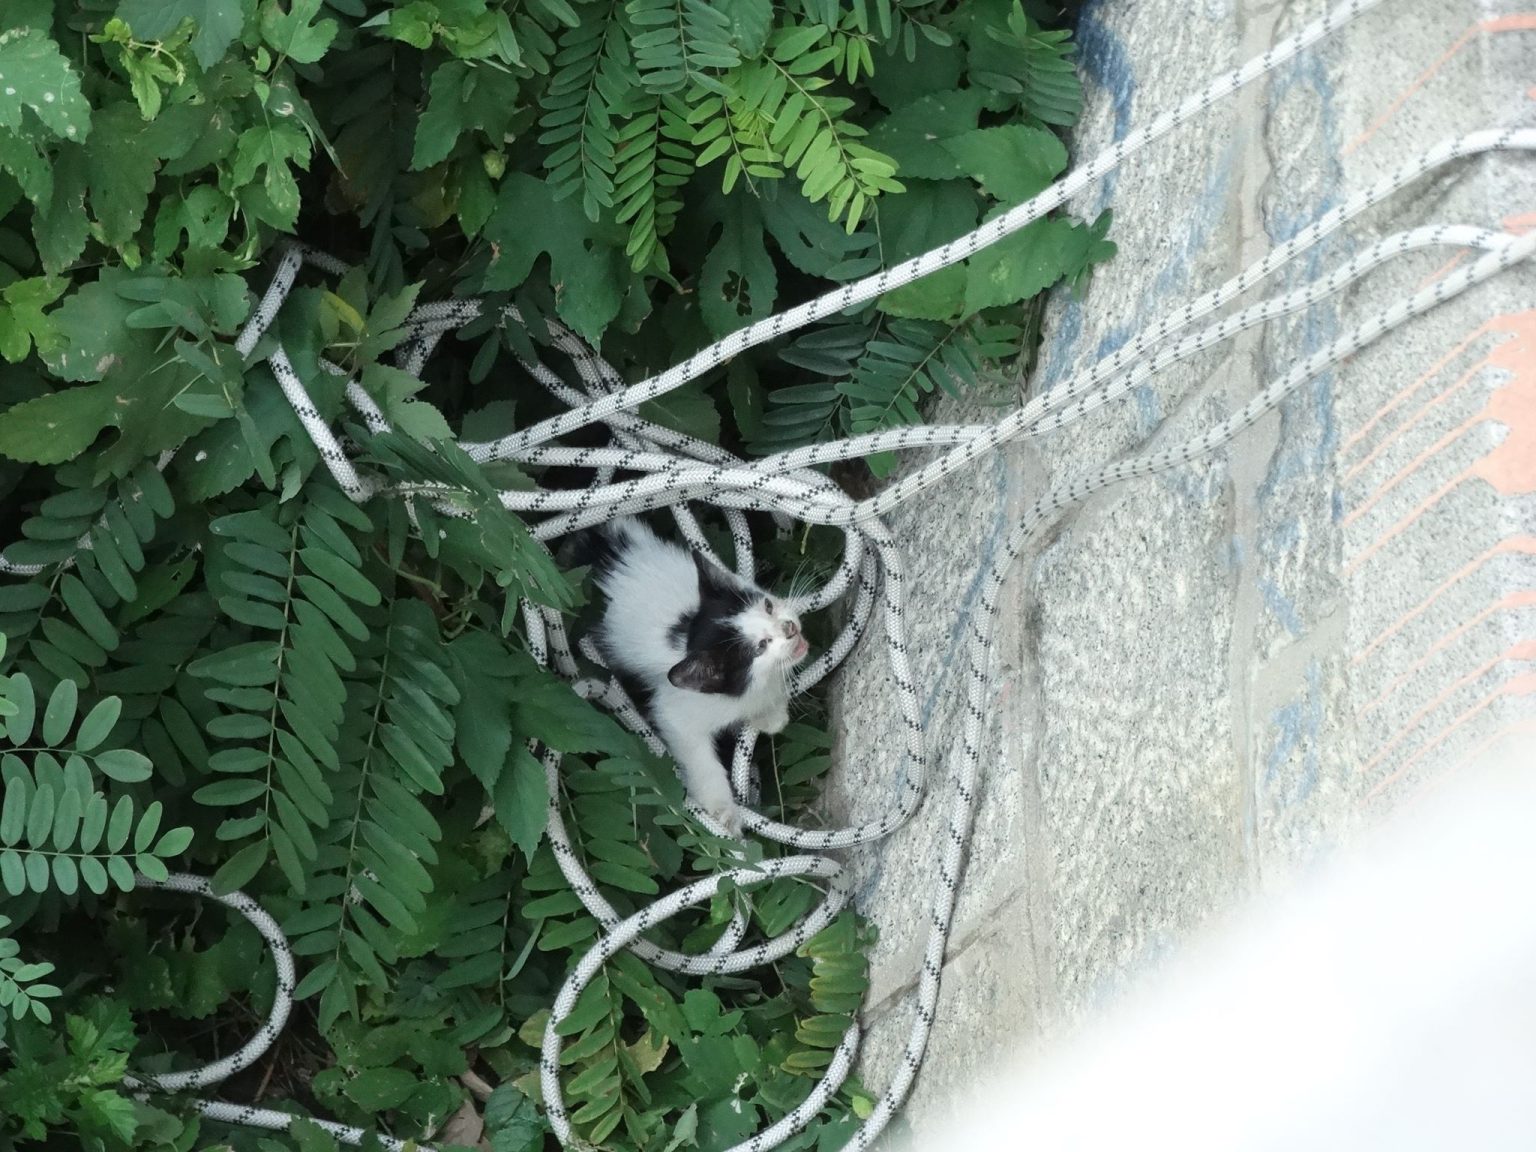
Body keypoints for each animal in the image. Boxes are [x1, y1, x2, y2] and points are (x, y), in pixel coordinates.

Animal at [572, 517, 808, 835]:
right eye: (760, 646)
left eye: (768, 606)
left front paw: (770, 714)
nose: (789, 628)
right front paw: (723, 812)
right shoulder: (678, 710)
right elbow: (698, 757)